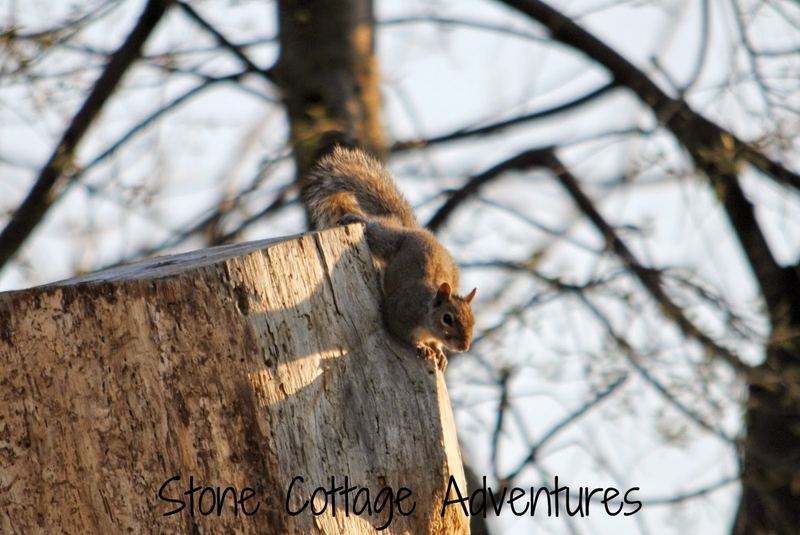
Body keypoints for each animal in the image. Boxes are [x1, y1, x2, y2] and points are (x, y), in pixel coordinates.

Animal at [303, 145, 476, 371]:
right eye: (447, 318)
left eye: (473, 320)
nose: (464, 347)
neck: (426, 311)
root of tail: (413, 229)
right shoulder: (399, 313)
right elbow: (401, 332)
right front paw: (422, 347)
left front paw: (439, 352)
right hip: (386, 239)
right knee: (374, 229)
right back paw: (356, 218)